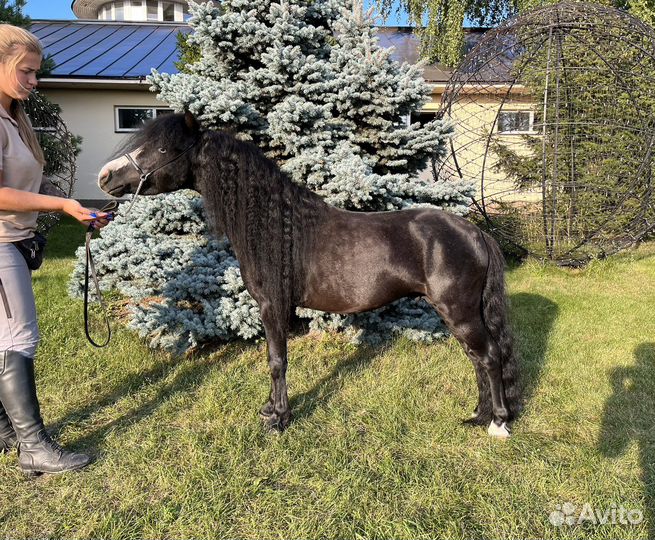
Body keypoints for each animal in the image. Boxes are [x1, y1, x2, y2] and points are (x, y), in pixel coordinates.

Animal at [98, 111, 520, 438]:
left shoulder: (273, 306)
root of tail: (475, 233)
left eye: (163, 149)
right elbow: (273, 359)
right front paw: (270, 410)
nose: (106, 176)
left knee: (489, 356)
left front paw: (278, 419)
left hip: (458, 311)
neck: (277, 226)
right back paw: (478, 415)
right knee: (477, 357)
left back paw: (498, 423)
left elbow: (276, 361)